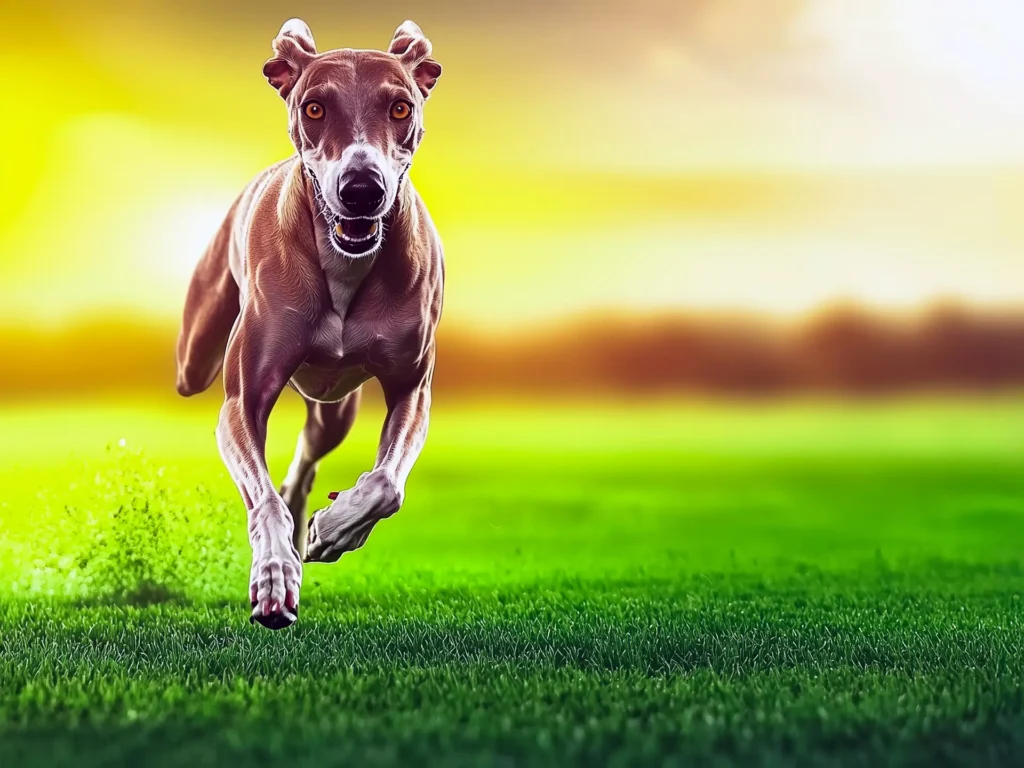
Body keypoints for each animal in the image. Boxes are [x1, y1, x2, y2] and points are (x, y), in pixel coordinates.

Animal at [175, 19, 444, 630]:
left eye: (400, 107)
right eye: (315, 107)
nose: (361, 189)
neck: (344, 265)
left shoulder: (412, 387)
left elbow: (387, 484)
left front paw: (335, 528)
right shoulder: (241, 401)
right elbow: (262, 495)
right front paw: (273, 578)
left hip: (334, 407)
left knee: (302, 465)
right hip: (195, 357)